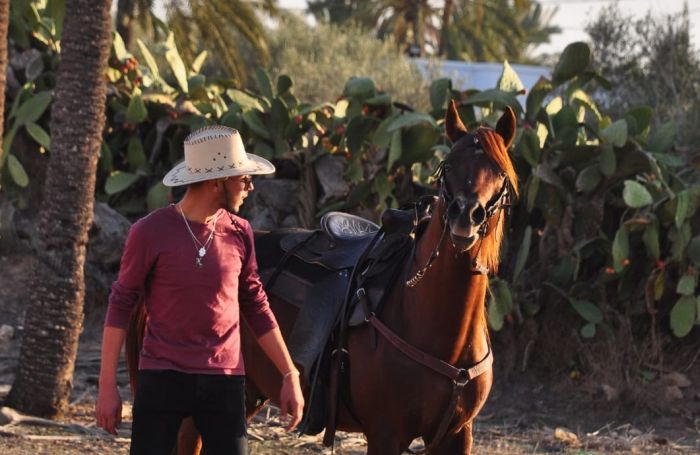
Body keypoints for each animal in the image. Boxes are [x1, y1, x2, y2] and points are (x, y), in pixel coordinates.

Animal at [126, 101, 520, 454]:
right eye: (447, 166)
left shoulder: (458, 434)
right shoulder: (386, 434)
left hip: (247, 394)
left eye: (501, 173)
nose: (465, 216)